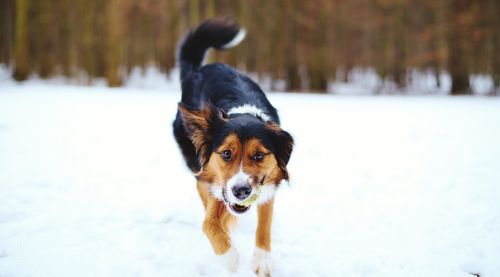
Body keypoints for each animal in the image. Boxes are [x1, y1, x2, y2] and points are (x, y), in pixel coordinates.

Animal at [175, 18, 294, 274]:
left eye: (259, 155)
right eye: (226, 153)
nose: (241, 191)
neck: (243, 113)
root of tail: (199, 69)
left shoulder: (269, 184)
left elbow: (264, 224)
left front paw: (261, 260)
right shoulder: (212, 180)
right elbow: (209, 222)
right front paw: (229, 257)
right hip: (194, 160)